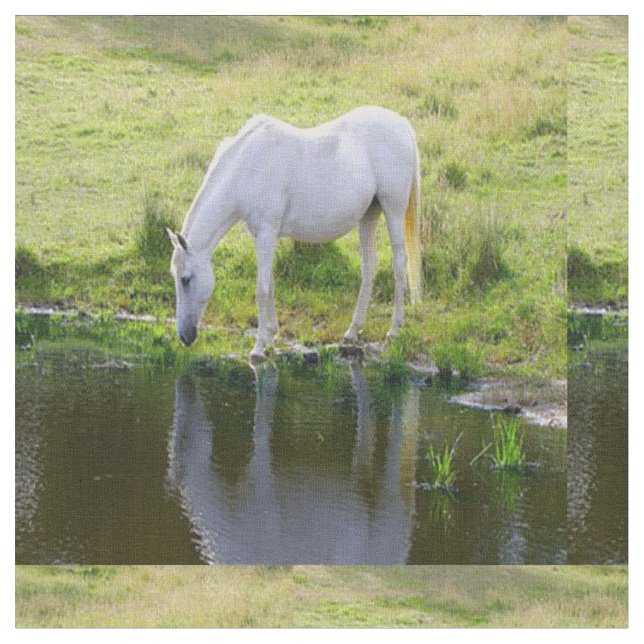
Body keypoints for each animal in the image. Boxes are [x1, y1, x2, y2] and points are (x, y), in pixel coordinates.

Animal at [167, 105, 422, 362]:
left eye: (185, 279)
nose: (185, 337)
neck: (247, 169)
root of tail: (401, 123)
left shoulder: (266, 234)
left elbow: (262, 290)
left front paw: (258, 348)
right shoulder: (262, 237)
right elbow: (269, 285)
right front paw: (271, 335)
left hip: (393, 210)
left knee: (399, 264)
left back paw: (394, 330)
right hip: (369, 214)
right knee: (369, 267)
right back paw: (352, 331)